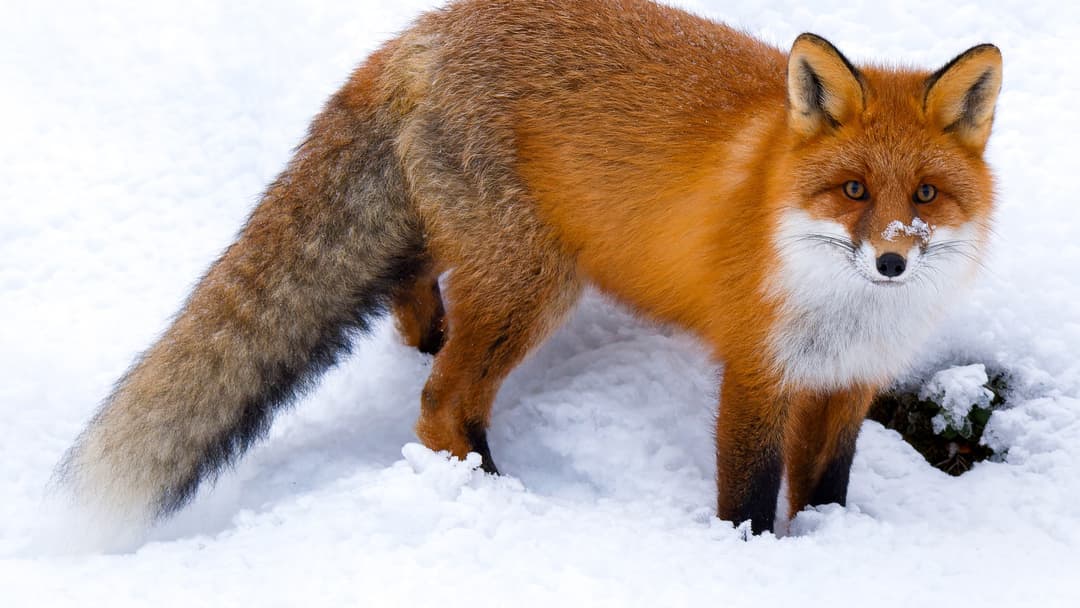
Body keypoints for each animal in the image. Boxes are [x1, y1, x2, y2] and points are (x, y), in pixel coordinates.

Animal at [57, 0, 1002, 535]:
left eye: (925, 193)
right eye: (852, 190)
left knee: (414, 301)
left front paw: (831, 550)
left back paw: (425, 337)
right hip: (534, 282)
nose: (890, 260)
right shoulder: (757, 372)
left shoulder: (848, 384)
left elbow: (826, 492)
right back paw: (501, 501)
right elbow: (748, 497)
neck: (847, 311)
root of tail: (422, 31)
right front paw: (751, 561)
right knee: (441, 402)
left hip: (473, 248)